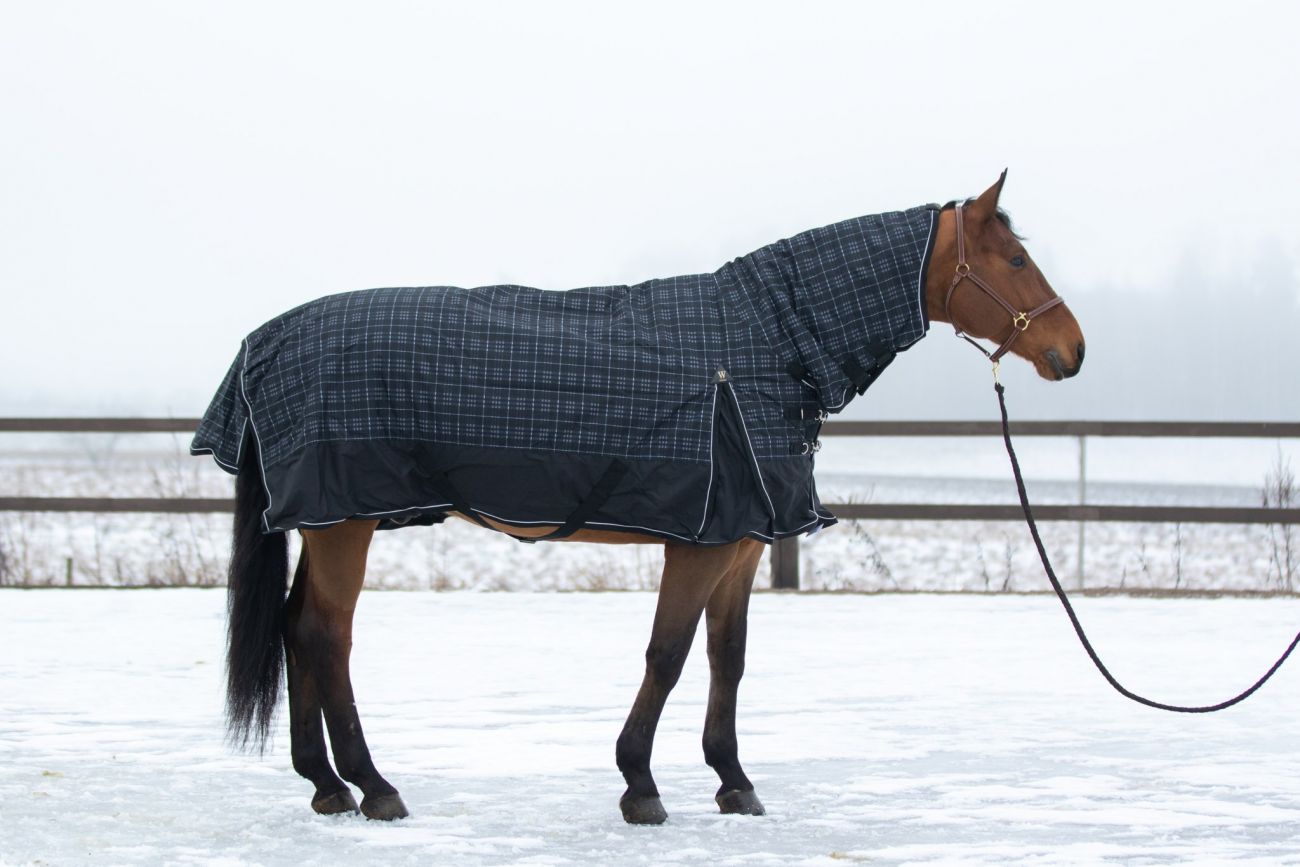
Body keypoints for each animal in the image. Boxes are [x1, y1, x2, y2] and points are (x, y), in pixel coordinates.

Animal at [197, 172, 1085, 824]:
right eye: (1013, 260)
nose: (1071, 350)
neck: (766, 343)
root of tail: (262, 341)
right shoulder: (700, 541)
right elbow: (669, 653)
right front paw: (640, 784)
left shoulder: (743, 544)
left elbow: (728, 658)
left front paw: (734, 779)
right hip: (343, 523)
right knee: (325, 635)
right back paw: (373, 785)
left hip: (327, 522)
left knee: (295, 628)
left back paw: (326, 784)